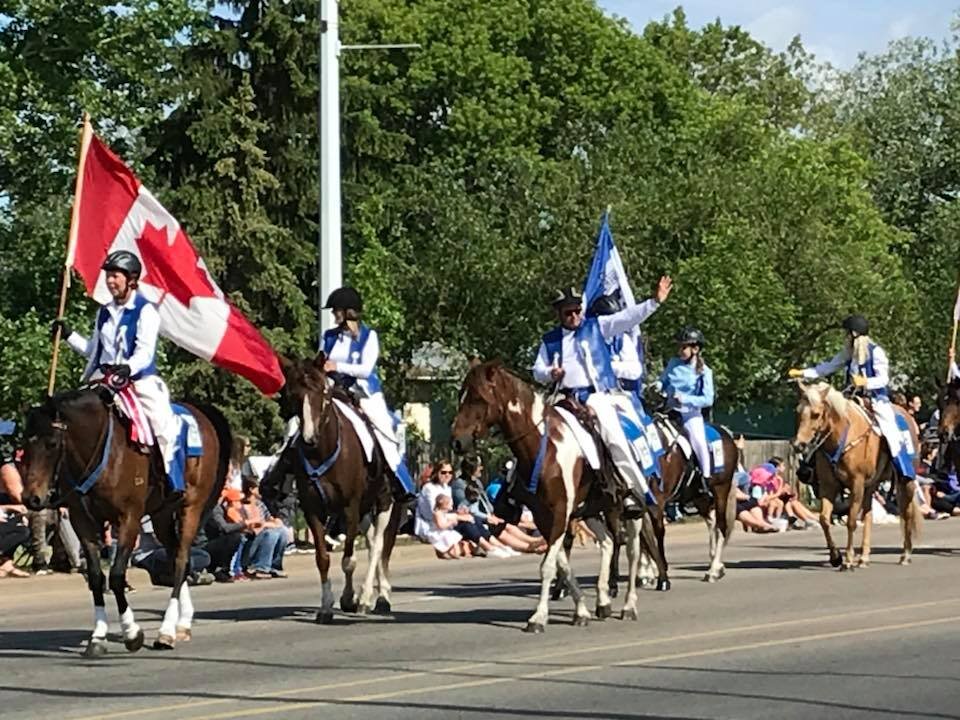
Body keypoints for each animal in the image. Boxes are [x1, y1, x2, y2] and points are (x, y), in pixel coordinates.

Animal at [20, 388, 231, 660]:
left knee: (181, 561)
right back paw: (182, 624)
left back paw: (166, 631)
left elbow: (118, 575)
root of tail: (200, 413)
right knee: (177, 560)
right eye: (26, 444)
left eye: (52, 444)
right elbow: (96, 577)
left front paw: (132, 633)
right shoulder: (82, 521)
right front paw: (98, 636)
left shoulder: (129, 518)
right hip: (162, 515)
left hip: (191, 508)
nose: (31, 498)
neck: (105, 453)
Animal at [272, 356, 400, 624]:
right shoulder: (313, 509)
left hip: (383, 500)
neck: (323, 451)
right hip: (364, 509)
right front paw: (326, 607)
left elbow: (349, 560)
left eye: (323, 392)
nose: (309, 438)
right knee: (371, 541)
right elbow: (323, 559)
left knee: (378, 544)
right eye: (293, 394)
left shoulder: (350, 506)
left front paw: (351, 598)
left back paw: (374, 598)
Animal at [452, 360, 668, 632]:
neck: (544, 449)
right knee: (608, 543)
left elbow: (548, 566)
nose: (457, 442)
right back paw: (603, 601)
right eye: (461, 395)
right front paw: (581, 611)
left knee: (632, 551)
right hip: (592, 510)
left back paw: (629, 605)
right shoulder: (546, 517)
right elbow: (562, 564)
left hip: (630, 510)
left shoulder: (560, 512)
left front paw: (538, 617)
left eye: (479, 398)